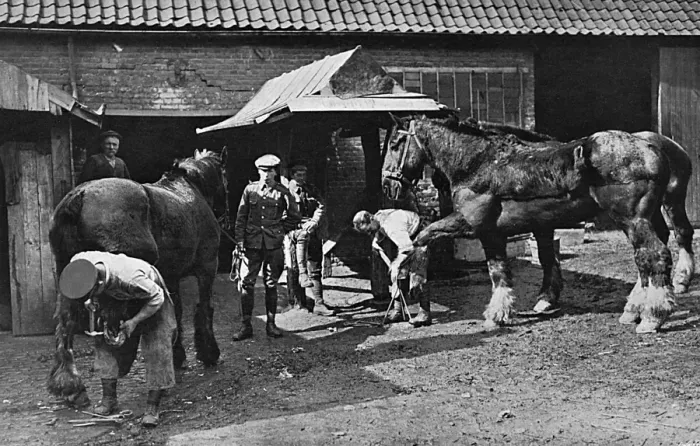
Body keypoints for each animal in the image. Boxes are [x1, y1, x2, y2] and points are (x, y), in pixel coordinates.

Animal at [47, 149, 224, 405]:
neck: (189, 190)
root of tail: (78, 196)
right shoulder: (207, 269)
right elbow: (203, 309)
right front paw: (208, 352)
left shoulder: (170, 277)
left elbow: (177, 313)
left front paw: (177, 355)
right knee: (109, 327)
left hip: (70, 281)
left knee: (66, 326)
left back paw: (72, 385)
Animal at [382, 113, 680, 334]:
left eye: (395, 144)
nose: (388, 185)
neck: (477, 163)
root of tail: (654, 149)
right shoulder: (497, 233)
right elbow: (503, 271)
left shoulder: (475, 226)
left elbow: (426, 239)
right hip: (646, 219)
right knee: (647, 257)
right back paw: (634, 311)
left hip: (633, 220)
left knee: (654, 256)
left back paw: (652, 317)